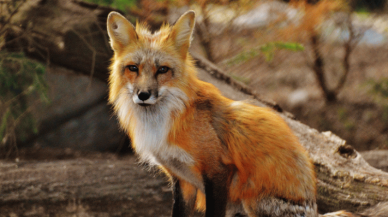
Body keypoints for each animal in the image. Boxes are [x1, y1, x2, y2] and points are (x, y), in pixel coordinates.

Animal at [106, 10, 354, 217]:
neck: (165, 121)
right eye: (133, 68)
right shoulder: (182, 179)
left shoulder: (218, 172)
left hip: (251, 201)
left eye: (162, 70)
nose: (143, 95)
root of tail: (314, 208)